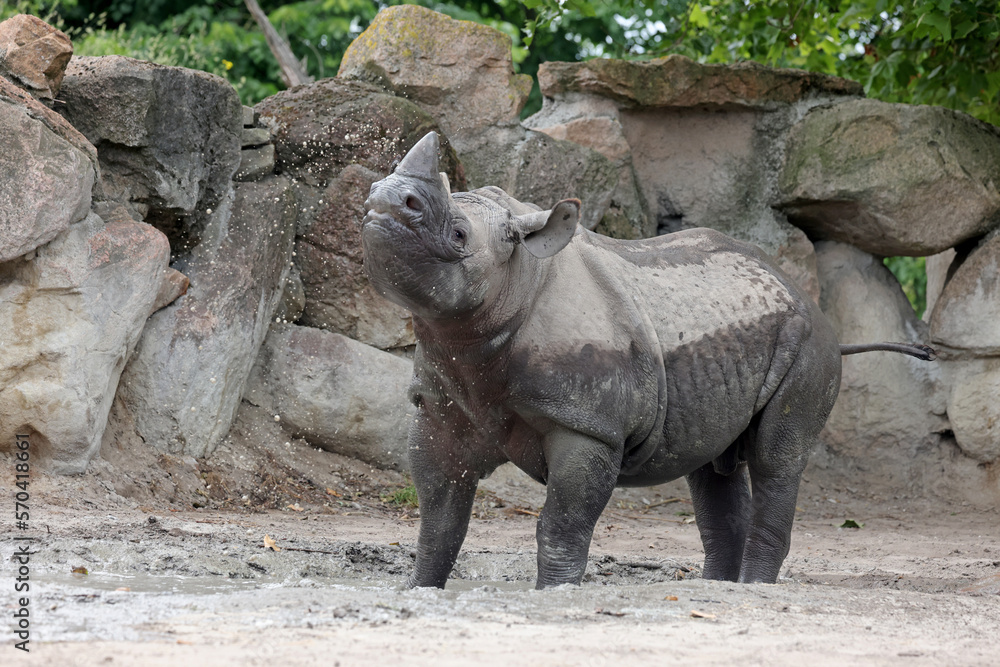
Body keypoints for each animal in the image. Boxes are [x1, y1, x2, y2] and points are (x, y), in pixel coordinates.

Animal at [361, 132, 934, 589]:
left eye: (459, 235)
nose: (384, 201)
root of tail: (804, 296)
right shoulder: (439, 405)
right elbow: (439, 518)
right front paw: (419, 590)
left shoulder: (588, 424)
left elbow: (561, 523)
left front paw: (555, 593)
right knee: (712, 468)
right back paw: (715, 589)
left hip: (808, 342)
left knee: (777, 459)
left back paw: (752, 590)